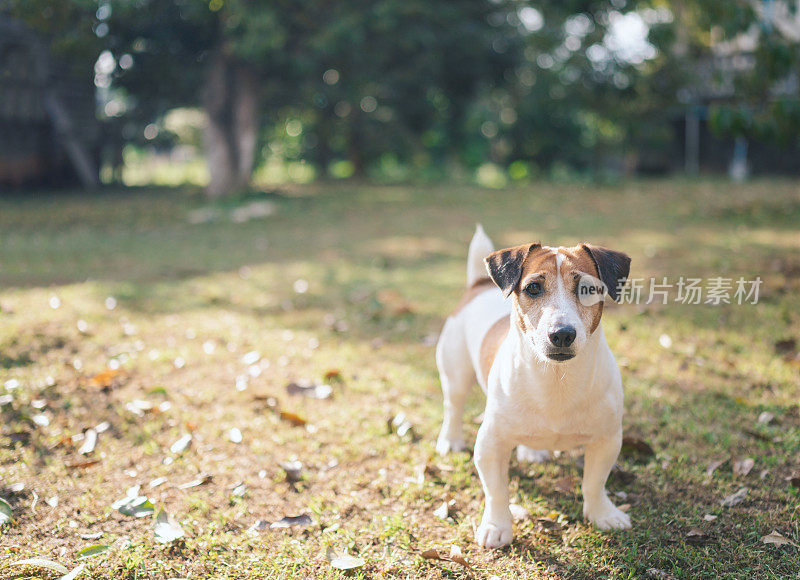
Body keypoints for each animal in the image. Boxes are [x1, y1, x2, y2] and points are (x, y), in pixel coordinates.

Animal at [438, 225, 632, 548]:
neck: (555, 380)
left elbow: (594, 482)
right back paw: (450, 440)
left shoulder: (607, 439)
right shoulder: (490, 442)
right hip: (455, 373)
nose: (562, 334)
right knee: (453, 405)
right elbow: (496, 490)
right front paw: (497, 526)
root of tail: (480, 284)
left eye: (587, 289)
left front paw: (603, 514)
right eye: (532, 288)